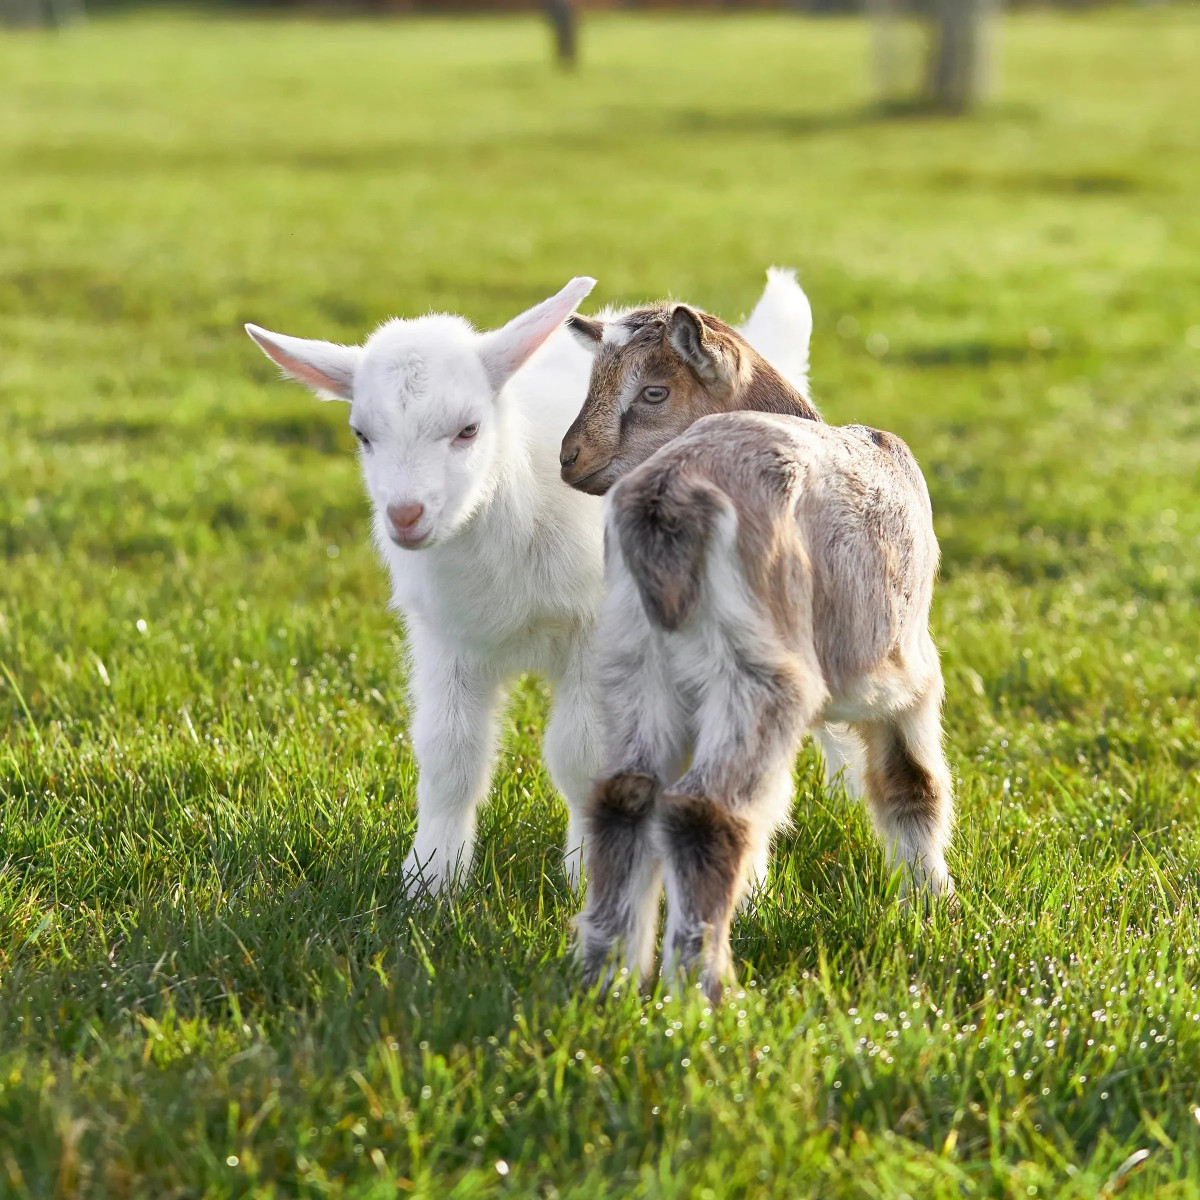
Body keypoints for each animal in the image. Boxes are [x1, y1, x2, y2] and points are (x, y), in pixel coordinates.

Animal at [245, 274, 815, 895]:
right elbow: (449, 755)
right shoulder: (448, 638)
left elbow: (583, 756)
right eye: (362, 435)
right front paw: (430, 881)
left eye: (469, 430)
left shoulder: (596, 633)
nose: (405, 516)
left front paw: (590, 873)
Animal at [572, 322, 953, 1003]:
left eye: (653, 391)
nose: (569, 458)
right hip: (758, 671)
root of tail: (667, 500)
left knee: (625, 796)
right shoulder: (907, 677)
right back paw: (705, 990)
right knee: (704, 810)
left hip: (632, 659)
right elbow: (913, 784)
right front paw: (931, 905)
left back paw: (606, 981)